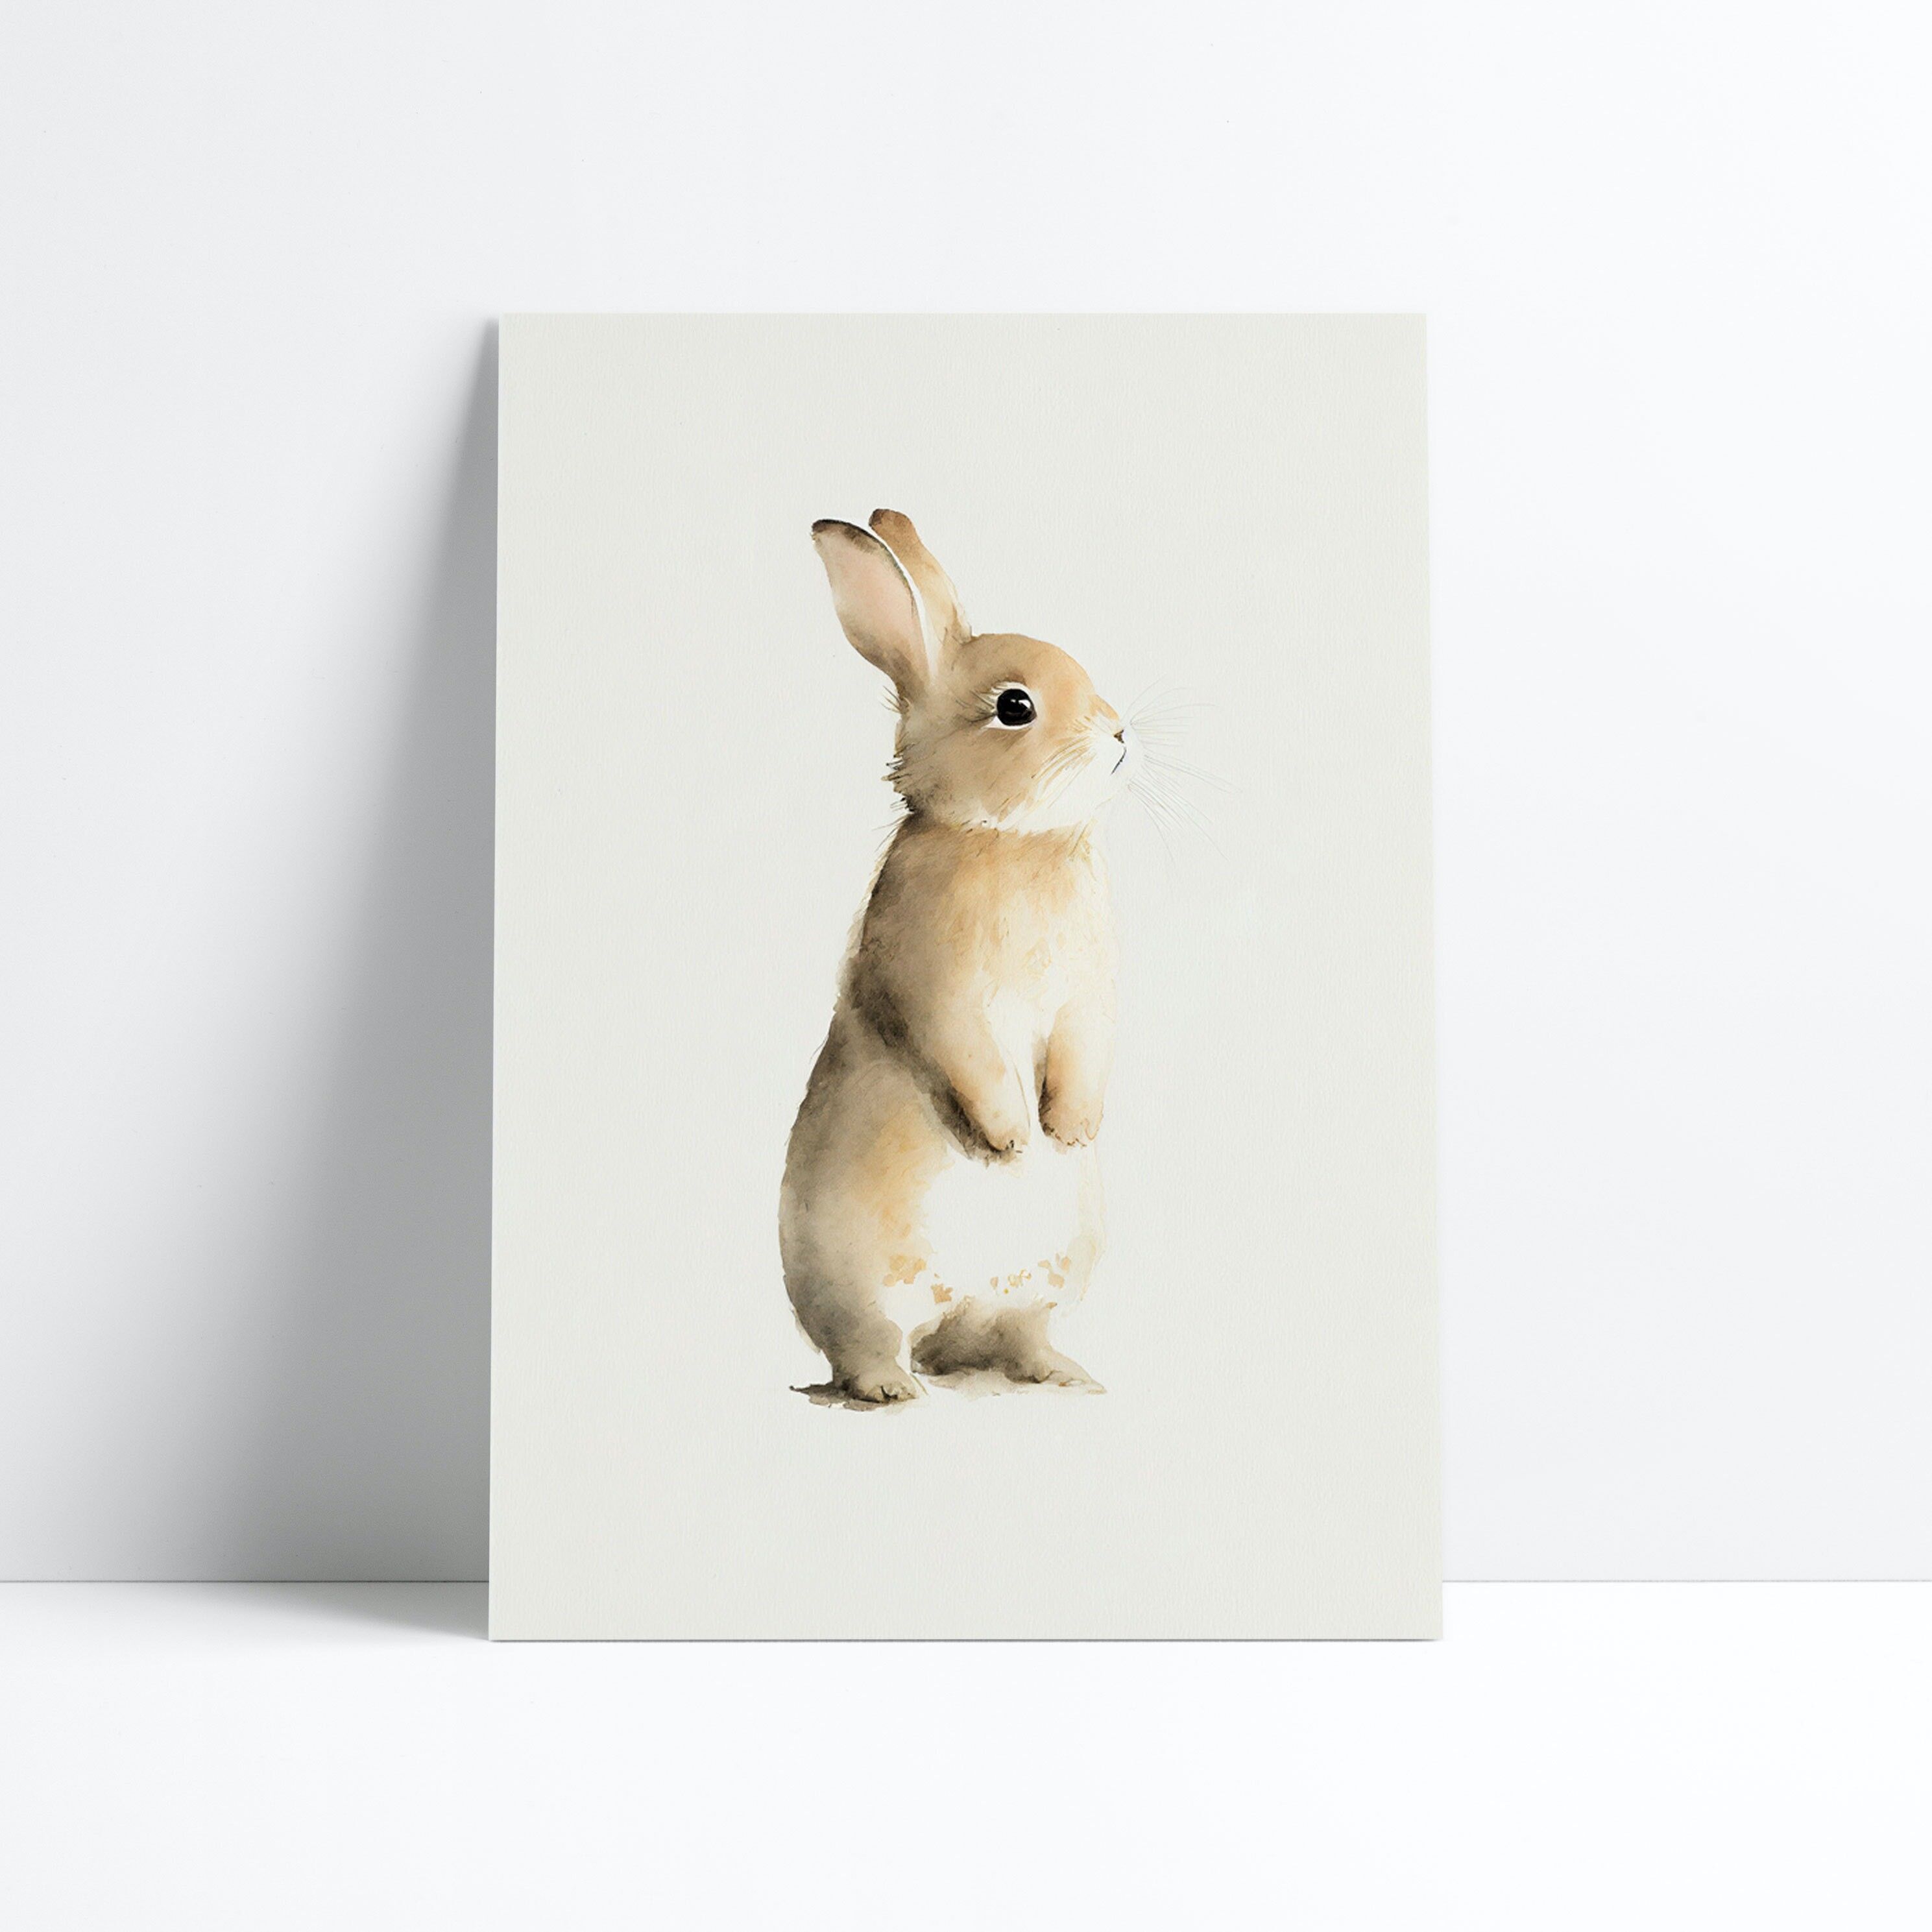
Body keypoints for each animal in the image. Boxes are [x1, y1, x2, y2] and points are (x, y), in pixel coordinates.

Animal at [781, 509, 1132, 1405]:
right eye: (1014, 706)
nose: (1120, 734)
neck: (1006, 839)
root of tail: (953, 1314)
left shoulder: (1087, 997)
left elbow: (1083, 1051)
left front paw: (1068, 1129)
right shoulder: (936, 987)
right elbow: (968, 1055)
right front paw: (1011, 1139)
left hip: (1049, 1279)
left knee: (1013, 1336)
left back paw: (1065, 1375)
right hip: (859, 1279)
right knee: (870, 1342)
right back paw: (891, 1389)